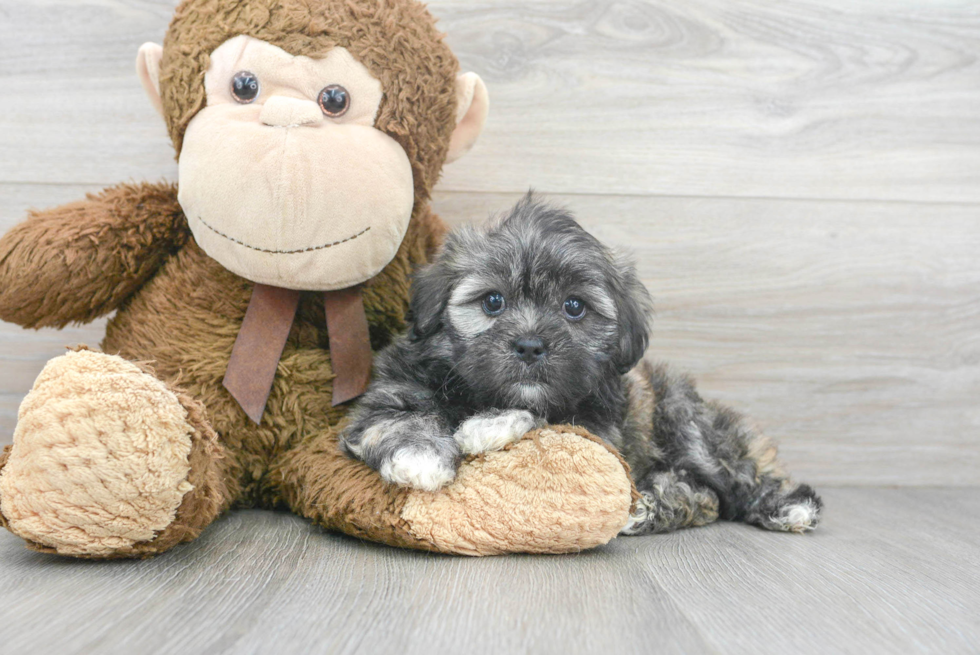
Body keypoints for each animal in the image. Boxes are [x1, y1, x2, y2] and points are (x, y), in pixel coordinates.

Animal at [340, 195, 824, 532]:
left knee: (734, 479)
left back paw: (788, 507)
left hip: (690, 423)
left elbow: (550, 418)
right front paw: (420, 458)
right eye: (493, 301)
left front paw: (489, 425)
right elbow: (398, 419)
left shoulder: (599, 430)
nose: (531, 346)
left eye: (574, 307)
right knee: (705, 496)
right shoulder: (387, 397)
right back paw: (648, 506)